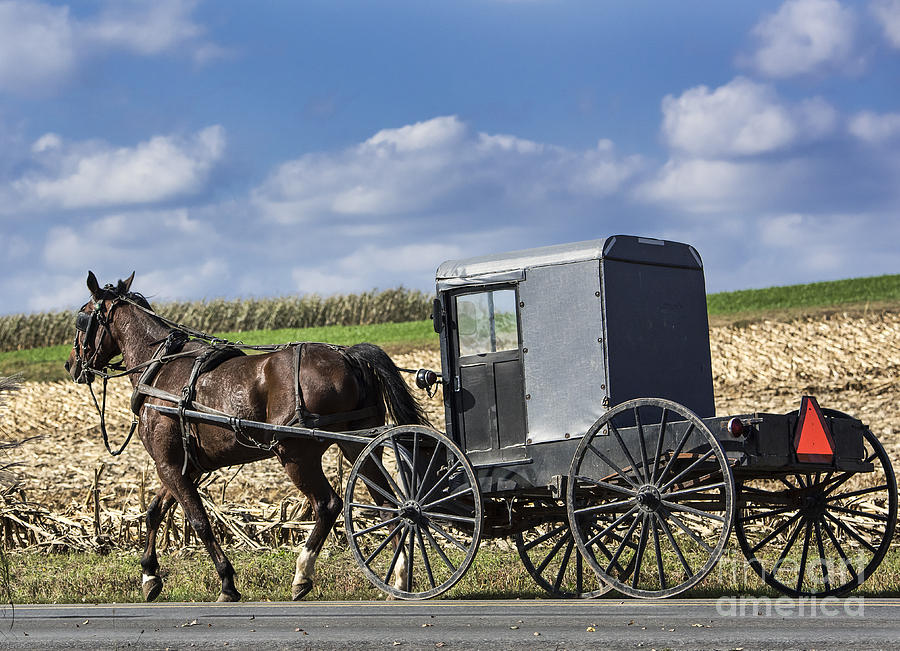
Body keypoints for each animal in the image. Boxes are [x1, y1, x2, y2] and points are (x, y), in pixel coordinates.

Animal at [65, 272, 428, 604]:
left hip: (296, 453)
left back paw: (302, 575)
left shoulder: (168, 464)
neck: (160, 371)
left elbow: (198, 521)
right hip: (356, 444)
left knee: (328, 504)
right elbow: (154, 511)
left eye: (82, 316)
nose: (71, 365)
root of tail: (348, 356)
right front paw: (149, 576)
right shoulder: (183, 467)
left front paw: (227, 582)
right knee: (389, 504)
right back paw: (399, 579)